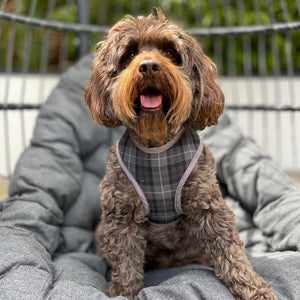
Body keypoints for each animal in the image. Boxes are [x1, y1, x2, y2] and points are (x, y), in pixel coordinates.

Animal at [84, 9, 276, 300]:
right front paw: (123, 292)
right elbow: (125, 262)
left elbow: (231, 252)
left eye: (170, 52)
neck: (156, 147)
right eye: (130, 53)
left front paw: (253, 288)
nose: (149, 66)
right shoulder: (121, 213)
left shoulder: (208, 205)